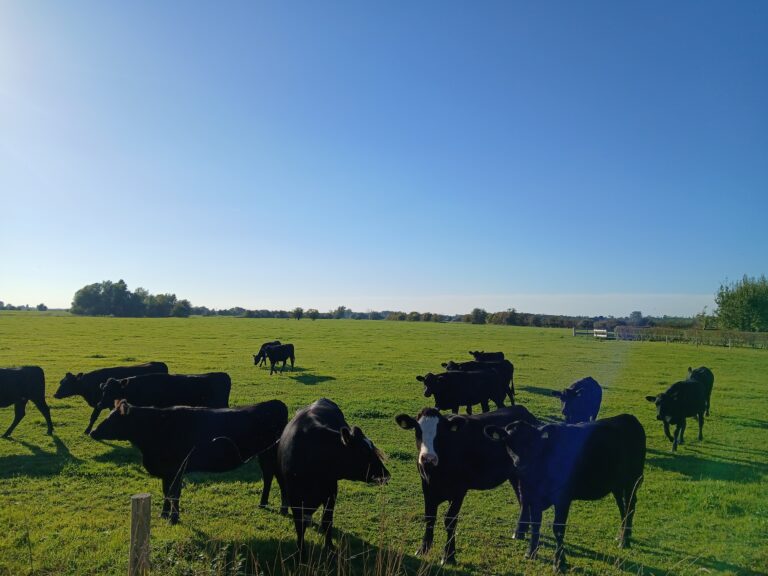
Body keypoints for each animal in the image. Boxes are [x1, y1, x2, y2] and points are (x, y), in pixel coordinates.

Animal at [91, 399, 288, 523]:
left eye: (113, 419)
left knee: (280, 479)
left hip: (273, 453)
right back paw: (263, 503)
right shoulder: (167, 471)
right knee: (268, 476)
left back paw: (284, 509)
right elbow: (167, 492)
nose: (93, 432)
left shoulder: (177, 468)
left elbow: (174, 493)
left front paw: (174, 518)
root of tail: (275, 403)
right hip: (264, 454)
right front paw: (164, 514)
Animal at [277, 398, 390, 551]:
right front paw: (301, 552)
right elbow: (300, 527)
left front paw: (329, 546)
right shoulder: (295, 499)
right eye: (364, 452)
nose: (386, 474)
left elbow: (327, 521)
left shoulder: (331, 493)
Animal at [395, 405, 539, 565]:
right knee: (523, 498)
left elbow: (450, 521)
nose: (428, 458)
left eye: (441, 432)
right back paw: (519, 532)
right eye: (417, 429)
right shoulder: (427, 487)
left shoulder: (459, 490)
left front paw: (449, 556)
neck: (437, 472)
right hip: (515, 474)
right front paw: (423, 549)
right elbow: (429, 517)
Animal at [484, 414, 646, 572]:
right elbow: (535, 524)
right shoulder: (532, 497)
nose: (520, 464)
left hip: (632, 480)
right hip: (616, 484)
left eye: (533, 443)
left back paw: (625, 541)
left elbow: (558, 529)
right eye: (508, 441)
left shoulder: (563, 498)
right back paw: (621, 535)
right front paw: (531, 552)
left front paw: (559, 562)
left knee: (630, 507)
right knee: (622, 508)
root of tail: (628, 418)